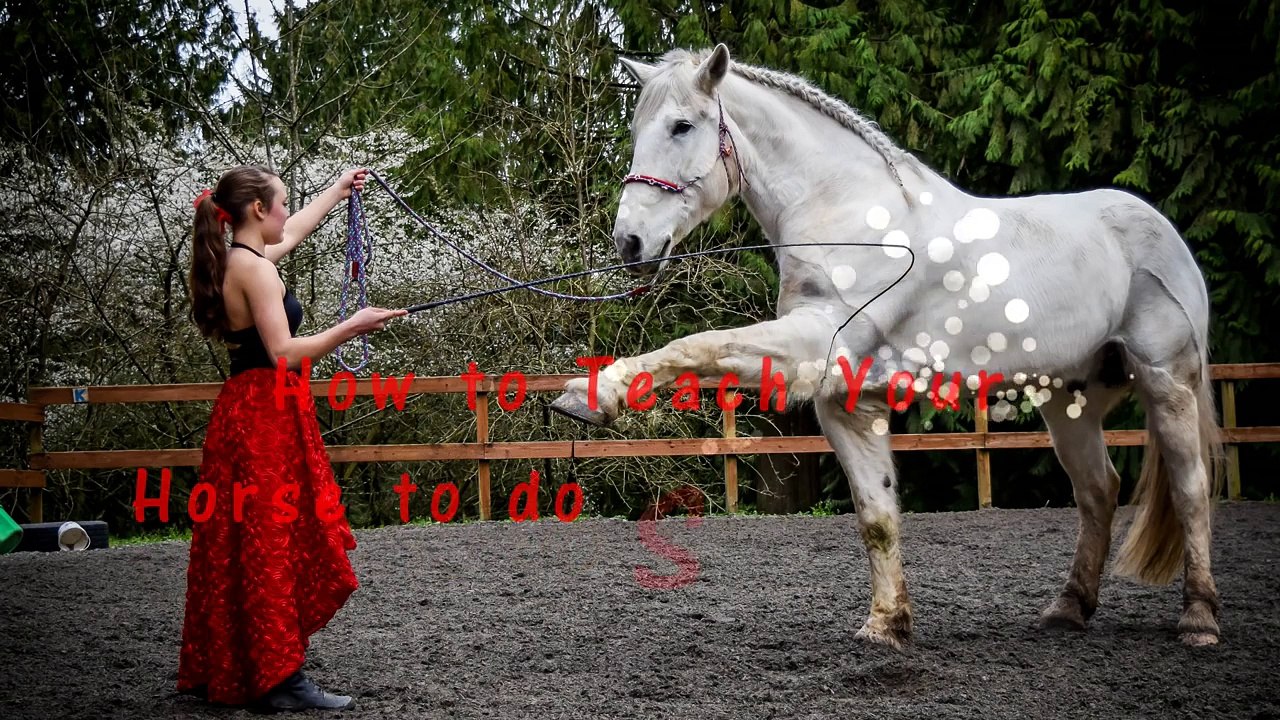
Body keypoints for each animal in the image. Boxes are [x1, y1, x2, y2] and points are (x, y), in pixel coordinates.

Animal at [549, 44, 1225, 649]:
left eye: (682, 125)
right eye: (638, 130)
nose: (630, 243)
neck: (852, 216)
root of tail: (1159, 229)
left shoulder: (811, 344)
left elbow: (697, 344)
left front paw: (592, 394)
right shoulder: (846, 398)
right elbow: (876, 516)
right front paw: (886, 626)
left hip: (1167, 380)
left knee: (1191, 488)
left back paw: (1199, 620)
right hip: (1068, 400)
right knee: (1099, 490)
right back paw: (1069, 609)